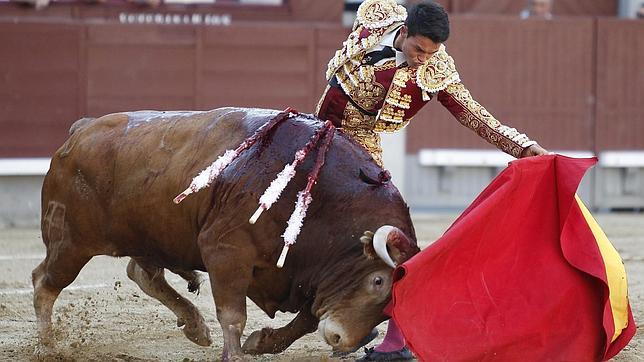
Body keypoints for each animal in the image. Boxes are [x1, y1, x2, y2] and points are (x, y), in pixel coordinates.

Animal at [32, 107, 420, 360]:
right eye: (378, 282)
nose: (343, 339)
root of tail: (82, 129)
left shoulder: (309, 278)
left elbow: (307, 320)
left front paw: (261, 343)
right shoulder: (225, 250)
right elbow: (233, 314)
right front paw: (235, 355)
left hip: (150, 234)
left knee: (142, 273)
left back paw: (194, 326)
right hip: (71, 242)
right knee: (44, 282)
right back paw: (50, 346)